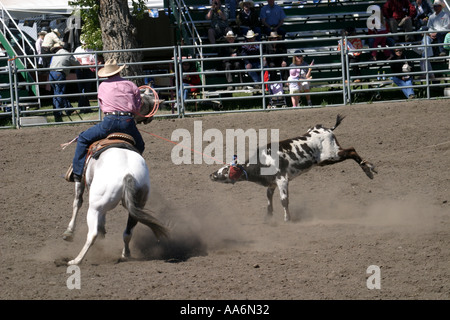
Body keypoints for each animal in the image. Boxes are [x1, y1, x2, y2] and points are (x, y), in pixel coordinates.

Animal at [210, 115, 376, 222]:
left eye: (225, 170)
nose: (211, 175)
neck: (263, 161)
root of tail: (325, 129)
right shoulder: (271, 183)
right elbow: (269, 200)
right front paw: (268, 218)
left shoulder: (282, 179)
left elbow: (284, 200)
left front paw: (287, 218)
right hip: (325, 160)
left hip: (333, 154)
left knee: (351, 150)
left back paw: (368, 169)